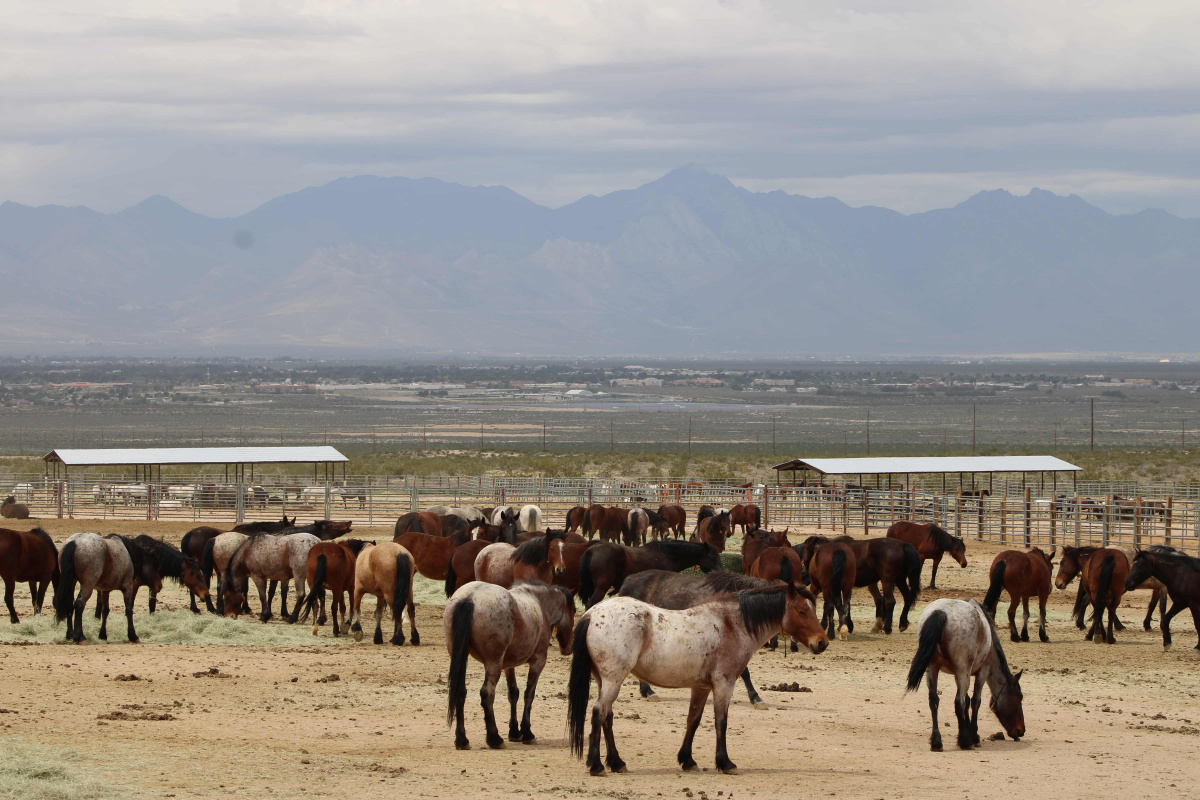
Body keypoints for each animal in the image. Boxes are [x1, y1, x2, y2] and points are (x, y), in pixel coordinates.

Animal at [446, 582, 576, 753]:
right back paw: (494, 738)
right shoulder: (538, 662)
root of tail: (469, 597)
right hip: (493, 663)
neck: (539, 603)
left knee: (460, 691)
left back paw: (461, 739)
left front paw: (514, 732)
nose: (569, 647)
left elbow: (513, 693)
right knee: (487, 694)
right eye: (574, 611)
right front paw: (527, 733)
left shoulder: (508, 666)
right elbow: (529, 695)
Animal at [902, 597, 1027, 753]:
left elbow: (967, 701)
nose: (1021, 730)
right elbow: (974, 701)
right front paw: (973, 736)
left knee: (934, 700)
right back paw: (965, 742)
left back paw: (937, 741)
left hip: (932, 669)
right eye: (1019, 697)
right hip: (962, 671)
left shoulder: (958, 675)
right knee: (958, 702)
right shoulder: (981, 672)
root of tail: (941, 612)